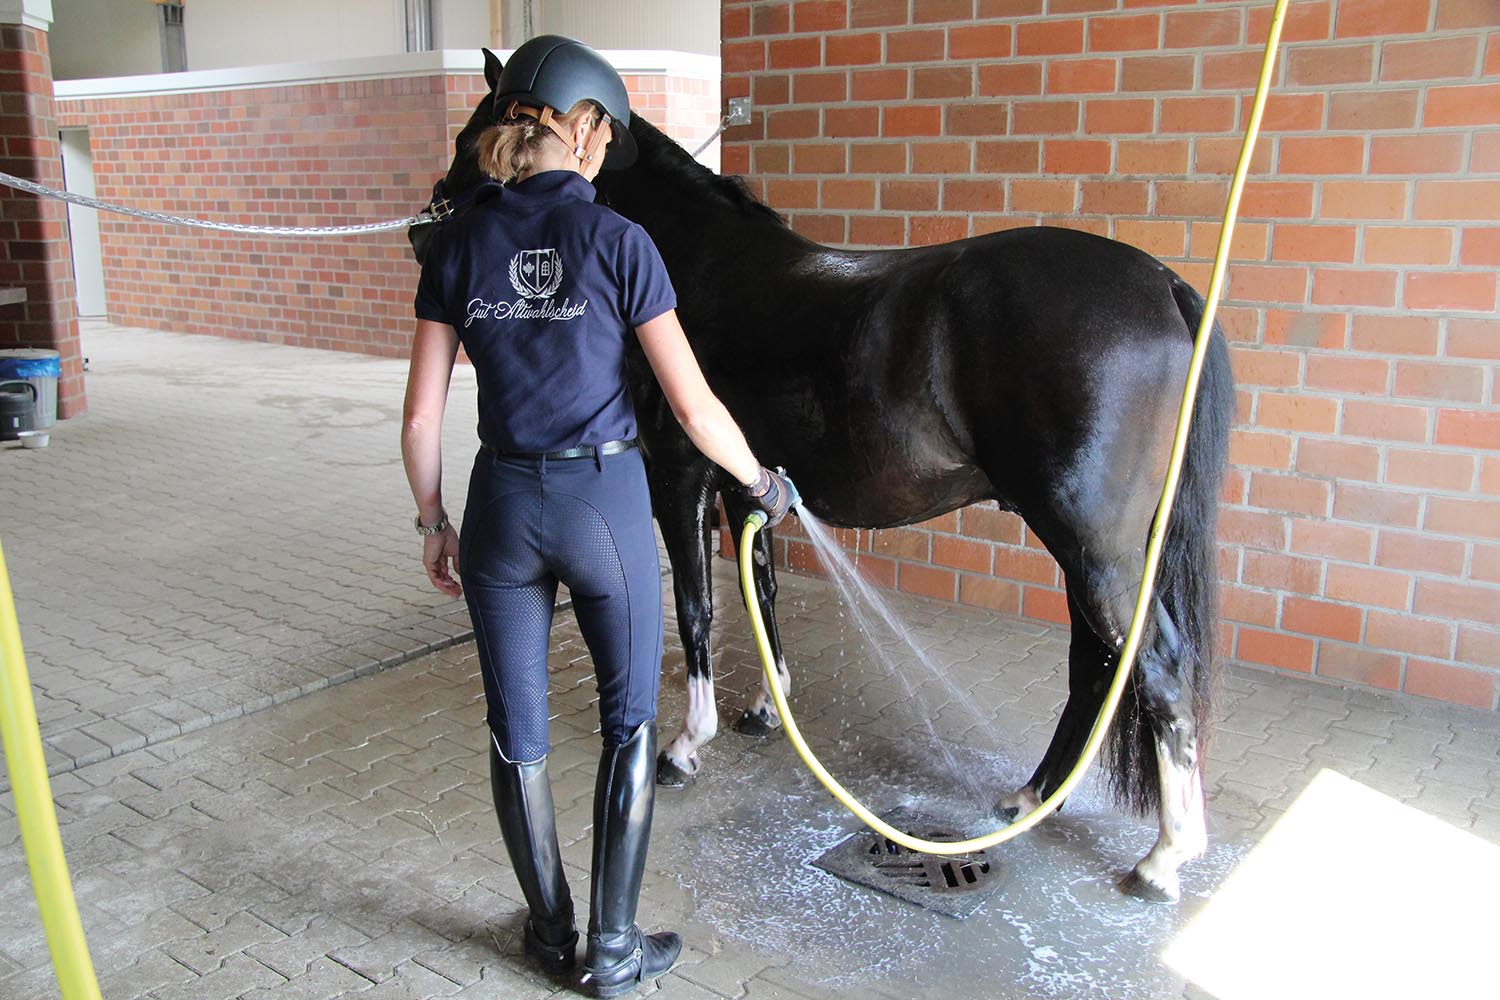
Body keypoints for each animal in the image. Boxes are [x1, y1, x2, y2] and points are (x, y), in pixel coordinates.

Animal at [411, 50, 1230, 905]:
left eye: (473, 135)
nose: (421, 231)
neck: (691, 261)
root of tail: (1164, 288)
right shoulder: (747, 485)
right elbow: (762, 594)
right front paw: (767, 710)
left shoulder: (680, 475)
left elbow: (699, 610)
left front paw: (686, 746)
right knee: (1097, 669)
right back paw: (1030, 798)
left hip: (1094, 548)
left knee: (1157, 669)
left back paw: (1164, 857)